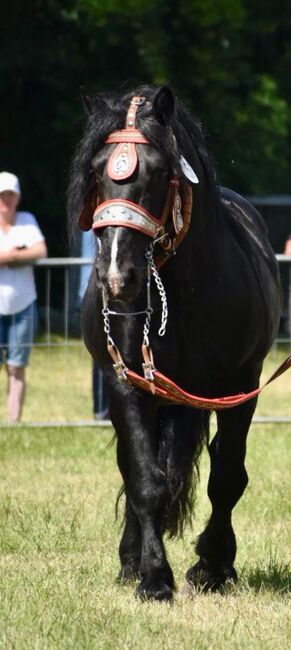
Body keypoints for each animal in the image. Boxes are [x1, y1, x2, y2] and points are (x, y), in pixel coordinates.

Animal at [67, 83, 282, 600]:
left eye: (159, 172)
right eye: (96, 171)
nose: (116, 277)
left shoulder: (240, 386)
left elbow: (227, 477)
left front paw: (212, 567)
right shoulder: (126, 384)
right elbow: (146, 480)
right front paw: (152, 578)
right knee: (134, 468)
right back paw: (130, 561)